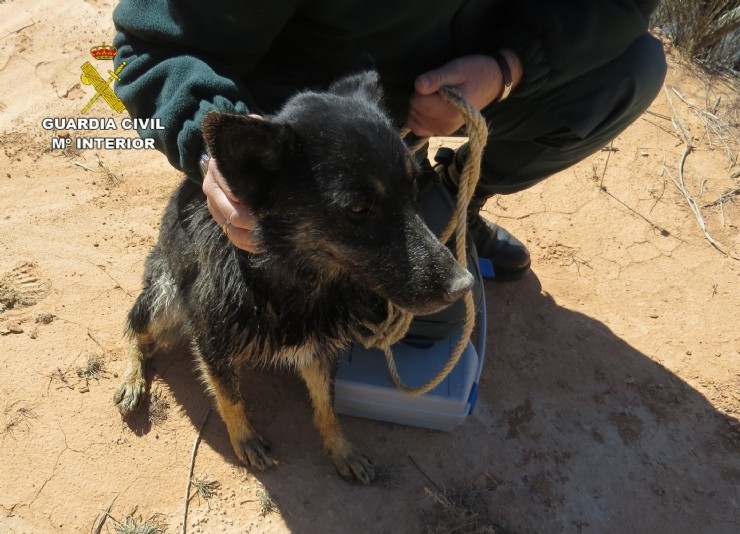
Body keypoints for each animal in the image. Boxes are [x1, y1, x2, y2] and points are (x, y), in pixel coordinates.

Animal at [114, 71, 474, 486]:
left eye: (415, 190)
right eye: (358, 208)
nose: (464, 285)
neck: (298, 281)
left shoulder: (319, 347)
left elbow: (327, 406)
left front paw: (341, 451)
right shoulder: (211, 340)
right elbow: (230, 397)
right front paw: (244, 439)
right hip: (164, 296)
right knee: (136, 330)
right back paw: (132, 378)